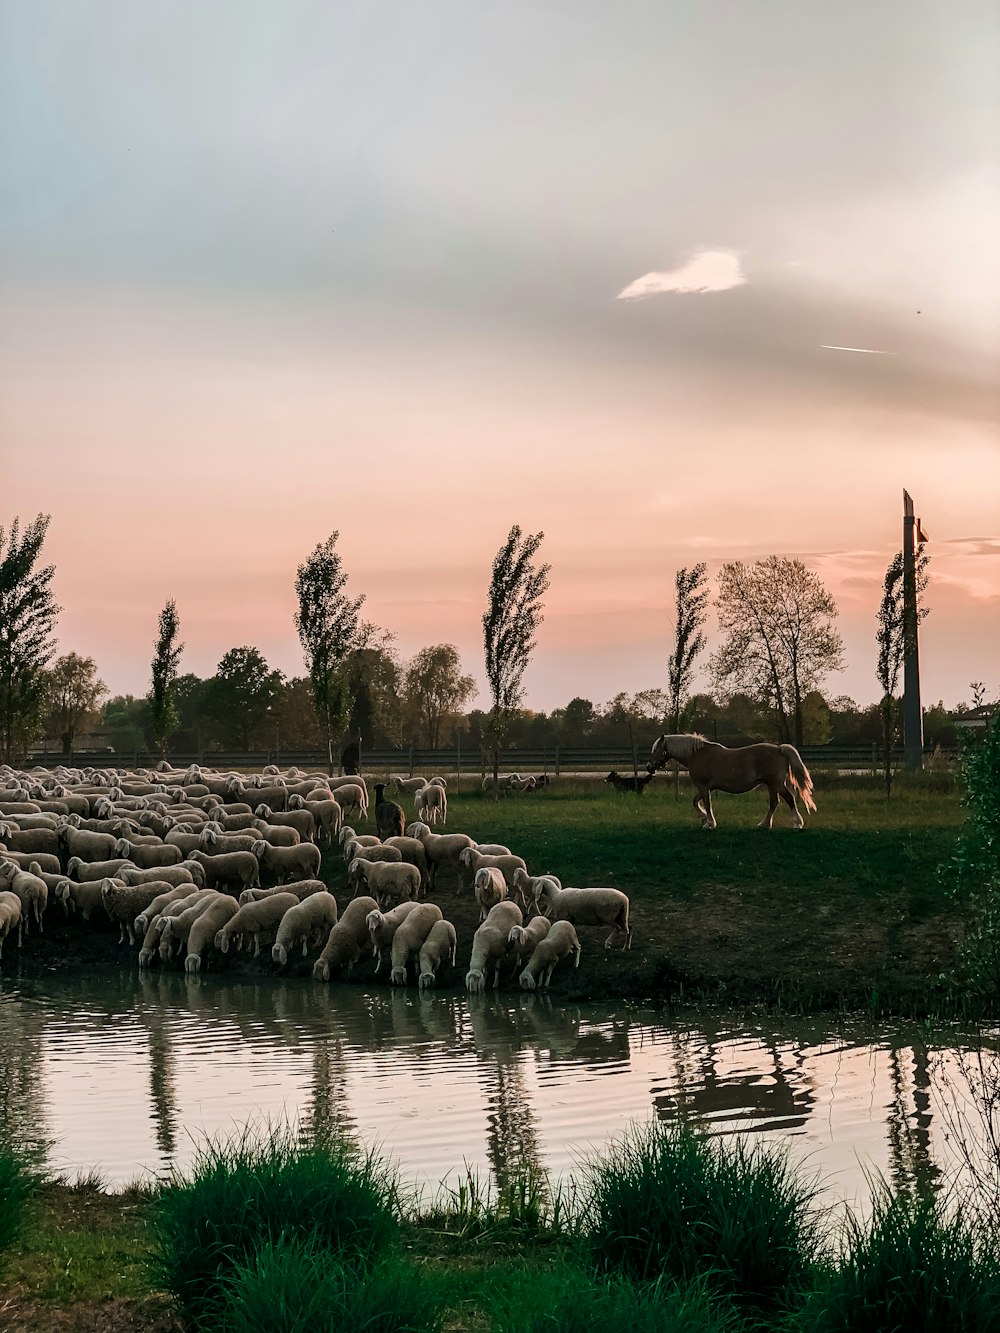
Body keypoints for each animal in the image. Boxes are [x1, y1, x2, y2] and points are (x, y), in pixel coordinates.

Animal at [645, 735, 816, 826]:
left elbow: (706, 803)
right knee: (774, 803)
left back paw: (797, 823)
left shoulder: (702, 785)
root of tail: (780, 748)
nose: (649, 767)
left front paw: (709, 822)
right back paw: (764, 824)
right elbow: (697, 801)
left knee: (790, 799)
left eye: (656, 749)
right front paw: (704, 818)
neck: (697, 755)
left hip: (777, 784)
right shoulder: (708, 787)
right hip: (771, 785)